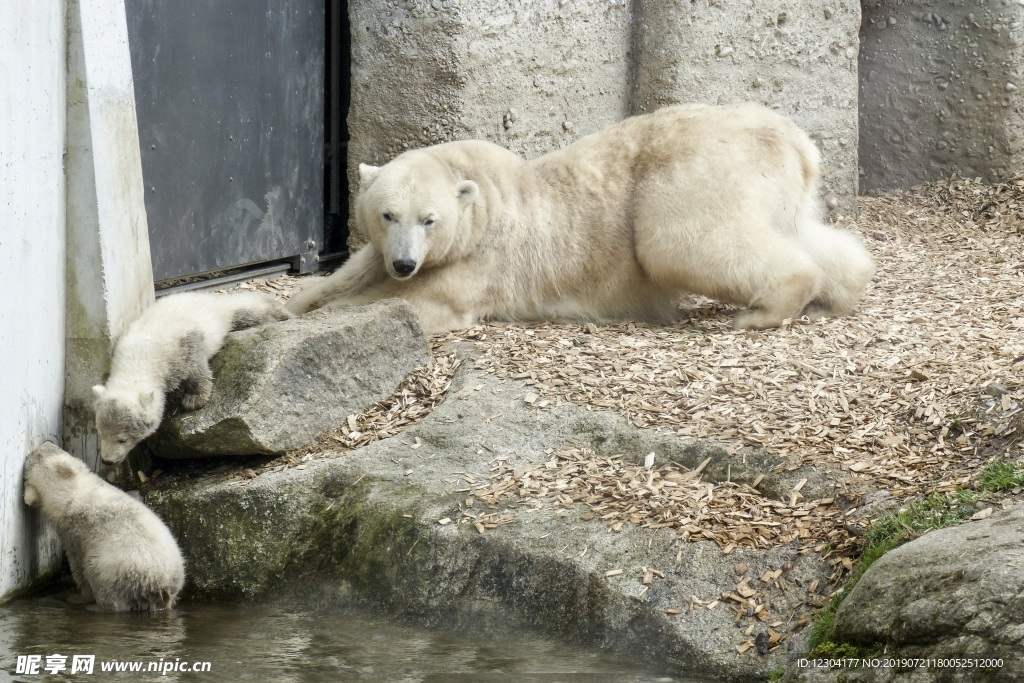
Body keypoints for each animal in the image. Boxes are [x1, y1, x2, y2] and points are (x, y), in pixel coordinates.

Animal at [288, 102, 872, 333]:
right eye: (388, 214)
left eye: (429, 219)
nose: (406, 264)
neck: (482, 198)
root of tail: (795, 142)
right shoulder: (382, 250)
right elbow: (347, 276)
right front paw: (290, 306)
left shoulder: (481, 262)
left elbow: (421, 302)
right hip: (777, 187)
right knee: (802, 233)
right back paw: (838, 291)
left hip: (693, 175)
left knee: (676, 243)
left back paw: (764, 310)